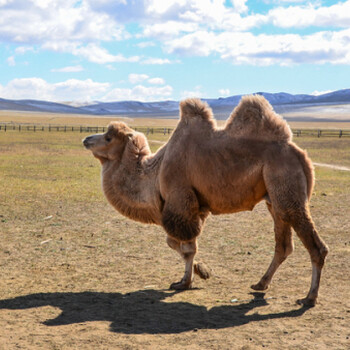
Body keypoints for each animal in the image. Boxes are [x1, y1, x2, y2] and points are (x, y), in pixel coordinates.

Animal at [83, 95, 330, 306]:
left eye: (108, 137)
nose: (86, 139)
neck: (155, 172)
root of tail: (301, 155)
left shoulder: (180, 201)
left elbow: (185, 246)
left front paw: (188, 280)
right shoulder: (195, 207)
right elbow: (177, 243)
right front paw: (199, 272)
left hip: (287, 188)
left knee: (315, 245)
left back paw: (309, 297)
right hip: (273, 199)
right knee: (283, 244)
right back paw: (260, 284)